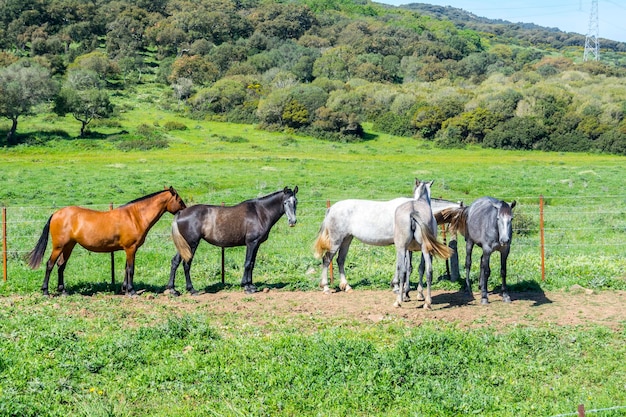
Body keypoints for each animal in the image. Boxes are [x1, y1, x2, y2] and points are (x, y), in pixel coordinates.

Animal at [28, 187, 185, 294]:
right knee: (50, 265)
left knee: (61, 266)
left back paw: (63, 291)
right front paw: (131, 290)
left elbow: (126, 269)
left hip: (68, 246)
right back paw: (45, 291)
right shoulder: (131, 248)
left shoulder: (128, 249)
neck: (135, 217)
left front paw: (124, 289)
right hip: (59, 247)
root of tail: (56, 213)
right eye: (179, 200)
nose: (185, 211)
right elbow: (131, 269)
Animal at [168, 187, 298, 294]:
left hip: (184, 246)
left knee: (175, 261)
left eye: (296, 202)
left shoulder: (256, 244)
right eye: (285, 202)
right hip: (191, 244)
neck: (260, 212)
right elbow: (247, 263)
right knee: (186, 264)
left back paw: (173, 290)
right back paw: (191, 289)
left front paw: (251, 285)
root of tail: (181, 213)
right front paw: (246, 287)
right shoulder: (251, 243)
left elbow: (252, 263)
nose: (292, 221)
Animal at [312, 179, 458, 292]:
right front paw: (398, 286)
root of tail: (332, 208)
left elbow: (404, 265)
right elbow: (404, 265)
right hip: (335, 241)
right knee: (326, 260)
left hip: (347, 240)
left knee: (340, 260)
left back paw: (346, 286)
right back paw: (325, 287)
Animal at [392, 180, 450, 308]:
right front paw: (412, 293)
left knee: (404, 270)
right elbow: (416, 268)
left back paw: (399, 300)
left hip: (402, 248)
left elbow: (410, 268)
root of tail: (413, 212)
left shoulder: (408, 250)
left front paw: (407, 293)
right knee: (428, 271)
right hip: (424, 249)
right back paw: (427, 302)